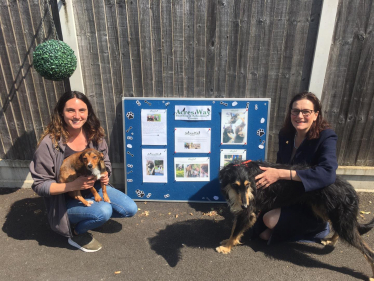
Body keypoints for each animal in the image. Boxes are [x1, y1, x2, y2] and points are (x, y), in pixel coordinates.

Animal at [216, 160, 374, 278]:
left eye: (248, 185)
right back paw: (331, 240)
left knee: (366, 249)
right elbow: (234, 228)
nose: (244, 205)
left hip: (340, 219)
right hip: (326, 211)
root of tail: (350, 189)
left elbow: (236, 230)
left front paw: (226, 247)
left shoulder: (248, 211)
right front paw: (228, 241)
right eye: (235, 185)